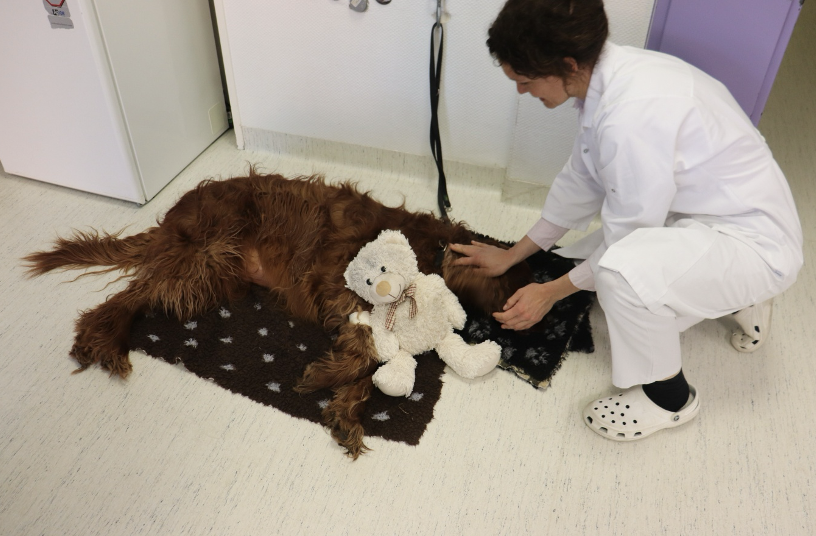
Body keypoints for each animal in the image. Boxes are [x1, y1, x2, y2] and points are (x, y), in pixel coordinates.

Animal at [24, 169, 532, 458]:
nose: (517, 324)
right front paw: (325, 381)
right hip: (205, 254)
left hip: (215, 276)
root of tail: (170, 217)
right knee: (127, 297)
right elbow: (363, 356)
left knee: (144, 295)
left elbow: (369, 370)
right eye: (508, 285)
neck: (432, 250)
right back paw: (102, 341)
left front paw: (345, 412)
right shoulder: (345, 291)